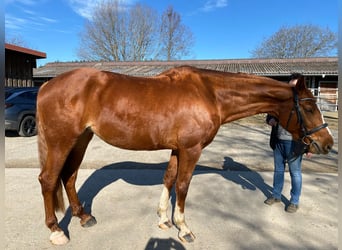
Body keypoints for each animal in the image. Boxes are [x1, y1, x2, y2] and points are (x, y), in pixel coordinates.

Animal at [37, 66, 334, 244]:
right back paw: (56, 231)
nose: (327, 143)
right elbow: (182, 185)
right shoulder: (191, 149)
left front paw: (163, 220)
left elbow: (168, 179)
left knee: (69, 177)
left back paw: (84, 217)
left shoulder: (177, 149)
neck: (210, 93)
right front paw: (184, 228)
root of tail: (45, 86)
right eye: (309, 108)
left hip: (81, 140)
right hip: (62, 142)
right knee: (49, 179)